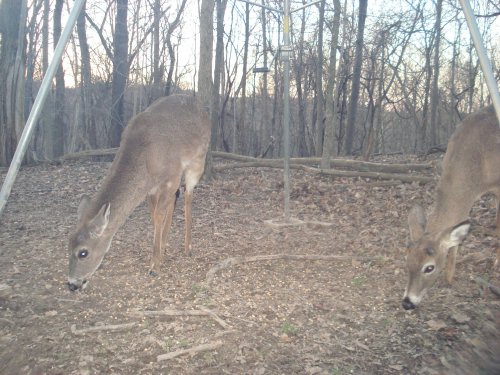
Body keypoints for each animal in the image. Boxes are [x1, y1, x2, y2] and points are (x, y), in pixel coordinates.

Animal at [66, 94, 209, 294]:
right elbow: (155, 215)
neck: (146, 159)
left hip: (198, 159)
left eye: (83, 252)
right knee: (174, 199)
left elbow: (159, 213)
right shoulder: (151, 188)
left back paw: (188, 247)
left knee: (188, 195)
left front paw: (154, 266)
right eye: (68, 243)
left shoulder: (172, 174)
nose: (72, 284)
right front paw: (159, 253)